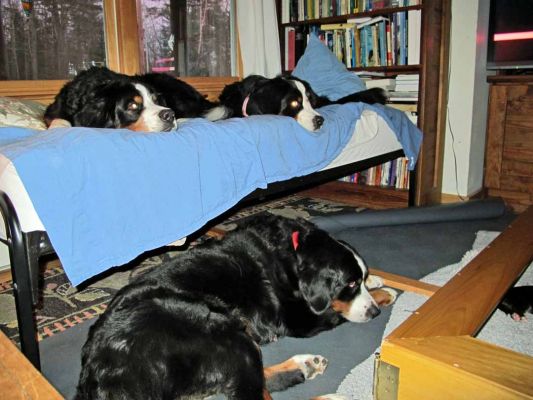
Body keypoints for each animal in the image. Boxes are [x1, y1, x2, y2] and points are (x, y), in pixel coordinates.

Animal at [75, 216, 394, 400]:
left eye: (357, 280)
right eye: (348, 284)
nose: (375, 314)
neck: (292, 252)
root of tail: (98, 369)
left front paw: (377, 282)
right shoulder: (299, 318)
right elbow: (334, 312)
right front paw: (381, 294)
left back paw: (305, 366)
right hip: (218, 332)